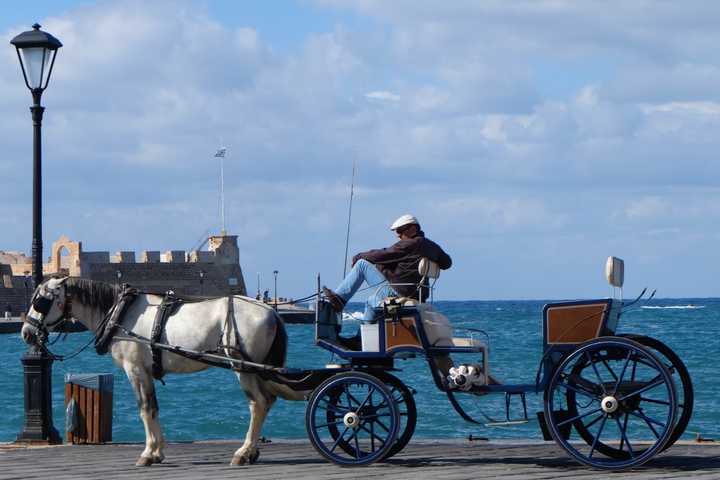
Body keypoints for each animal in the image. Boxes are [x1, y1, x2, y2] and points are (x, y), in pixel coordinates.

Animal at [21, 276, 304, 466]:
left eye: (41, 301)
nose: (26, 332)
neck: (120, 315)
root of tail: (271, 311)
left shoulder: (135, 370)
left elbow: (145, 409)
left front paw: (148, 454)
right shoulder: (146, 371)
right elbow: (154, 408)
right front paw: (157, 452)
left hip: (243, 368)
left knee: (258, 403)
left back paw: (243, 452)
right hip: (256, 369)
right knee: (267, 401)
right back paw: (252, 451)